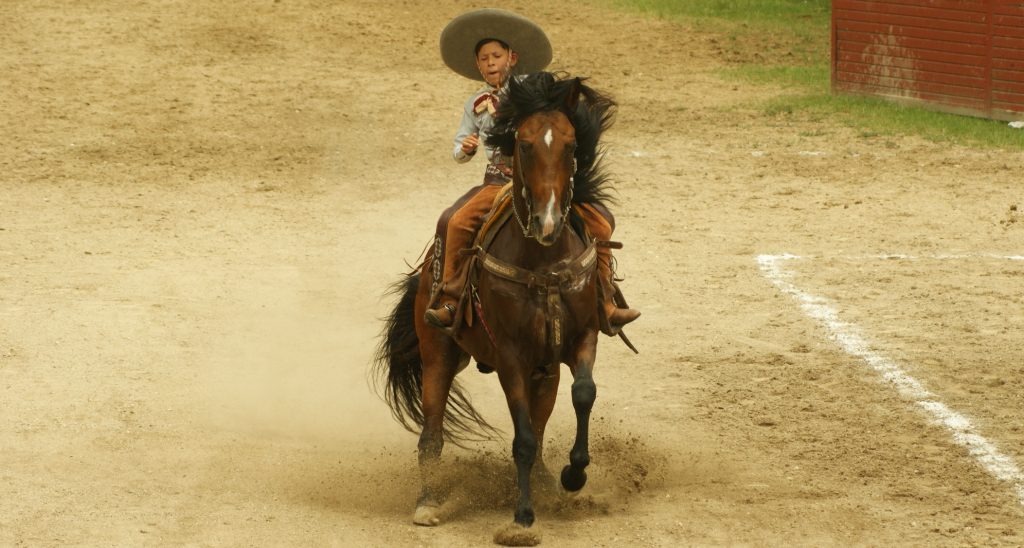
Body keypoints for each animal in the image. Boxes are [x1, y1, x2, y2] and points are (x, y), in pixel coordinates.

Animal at [374, 70, 618, 544]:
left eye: (571, 145)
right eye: (523, 144)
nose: (547, 222)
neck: (542, 259)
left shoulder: (583, 338)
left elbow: (583, 395)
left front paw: (573, 475)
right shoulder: (510, 356)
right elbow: (520, 439)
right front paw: (521, 518)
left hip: (544, 371)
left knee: (539, 429)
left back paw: (544, 481)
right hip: (439, 354)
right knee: (431, 434)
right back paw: (428, 503)